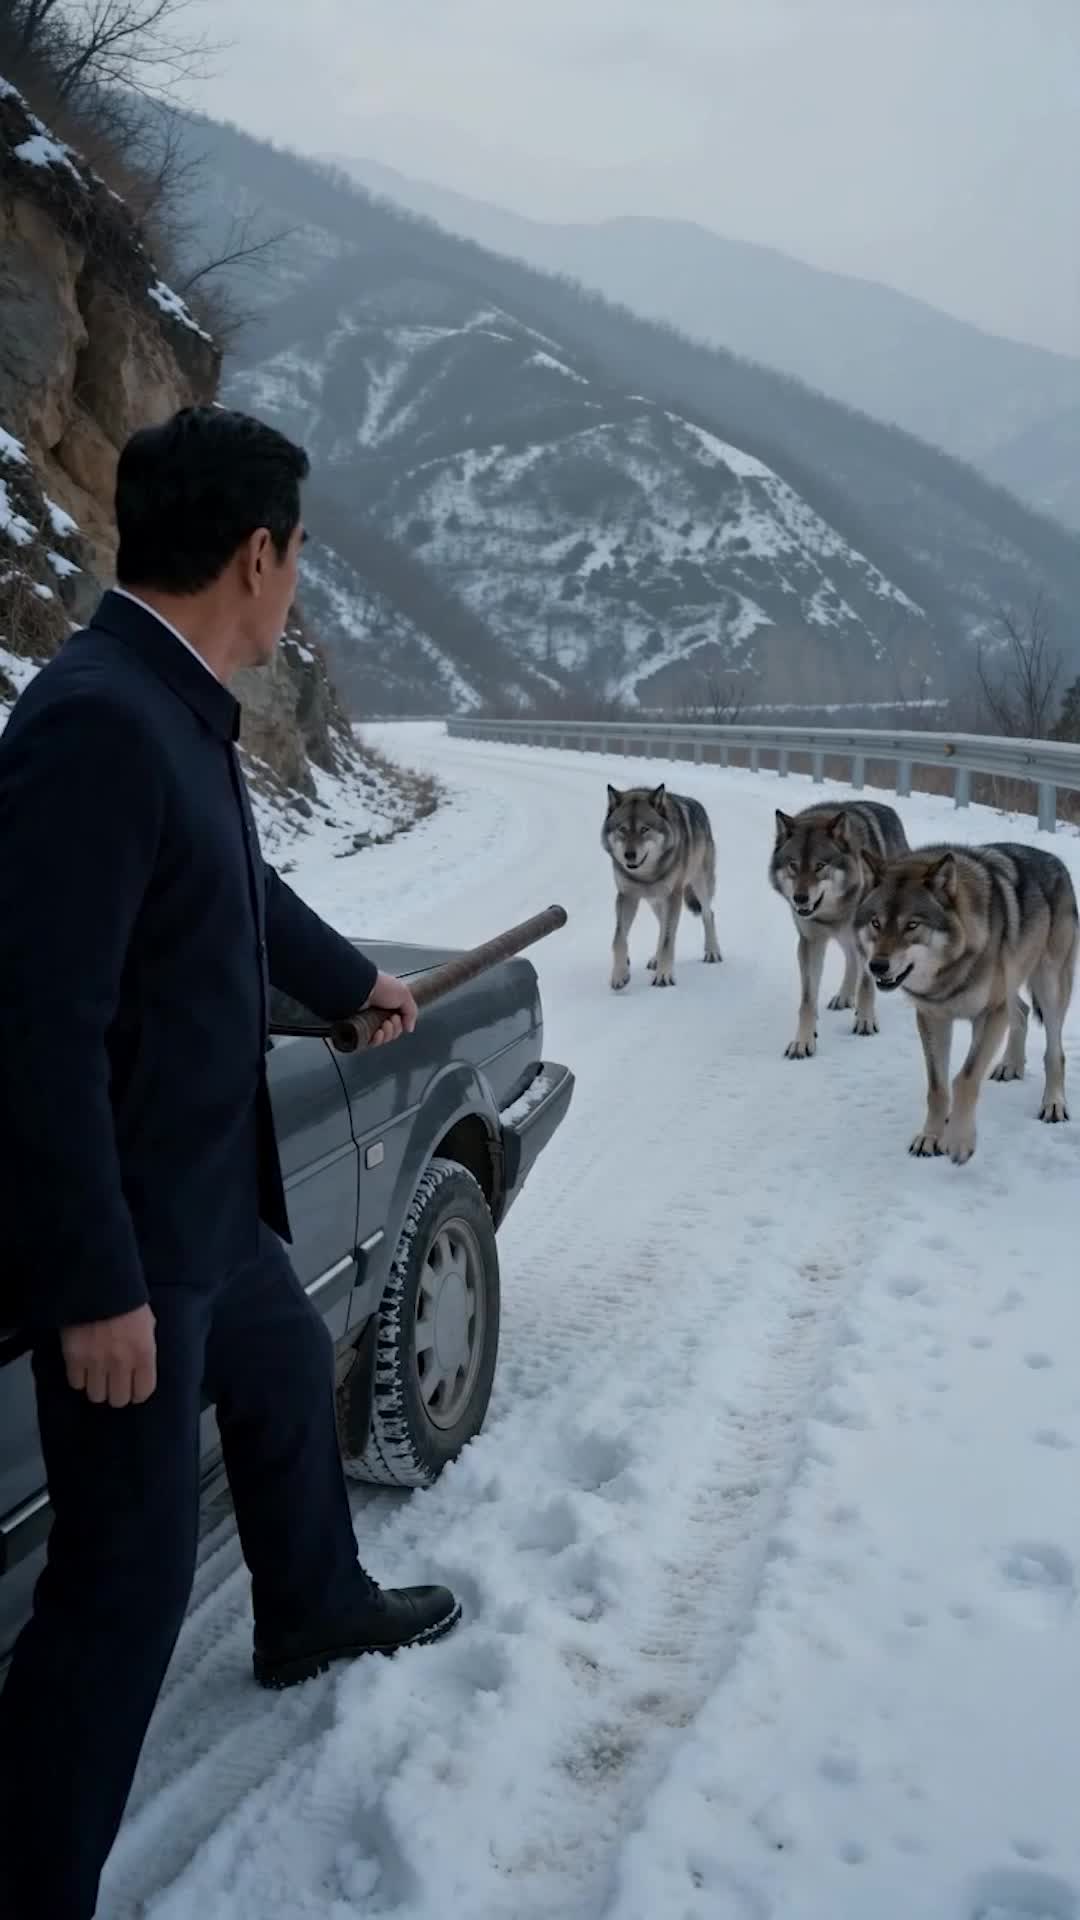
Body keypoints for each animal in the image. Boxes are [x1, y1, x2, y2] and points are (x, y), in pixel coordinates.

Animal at [602, 783, 722, 989]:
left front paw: (664, 976)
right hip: (655, 901)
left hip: (699, 886)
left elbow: (668, 939)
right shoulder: (626, 896)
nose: (629, 855)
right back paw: (655, 959)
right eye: (622, 829)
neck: (646, 875)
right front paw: (620, 974)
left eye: (644, 829)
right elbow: (619, 938)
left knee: (708, 914)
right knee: (662, 924)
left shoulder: (673, 896)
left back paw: (712, 952)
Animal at [769, 799, 909, 1058]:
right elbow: (807, 1000)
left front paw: (865, 1021)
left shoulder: (870, 940)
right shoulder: (810, 942)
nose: (800, 898)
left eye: (819, 866)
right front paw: (803, 1040)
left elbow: (866, 985)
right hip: (846, 940)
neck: (833, 913)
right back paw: (843, 997)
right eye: (793, 865)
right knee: (851, 959)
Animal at [856, 840, 1079, 1164]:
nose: (877, 966)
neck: (950, 972)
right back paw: (1010, 1066)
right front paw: (930, 1137)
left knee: (1055, 1052)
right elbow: (937, 1088)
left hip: (1049, 986)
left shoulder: (990, 1014)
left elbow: (965, 1078)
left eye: (912, 925)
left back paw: (1053, 1104)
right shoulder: (932, 1017)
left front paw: (959, 1141)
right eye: (876, 923)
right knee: (1022, 1012)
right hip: (1013, 988)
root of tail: (1053, 859)